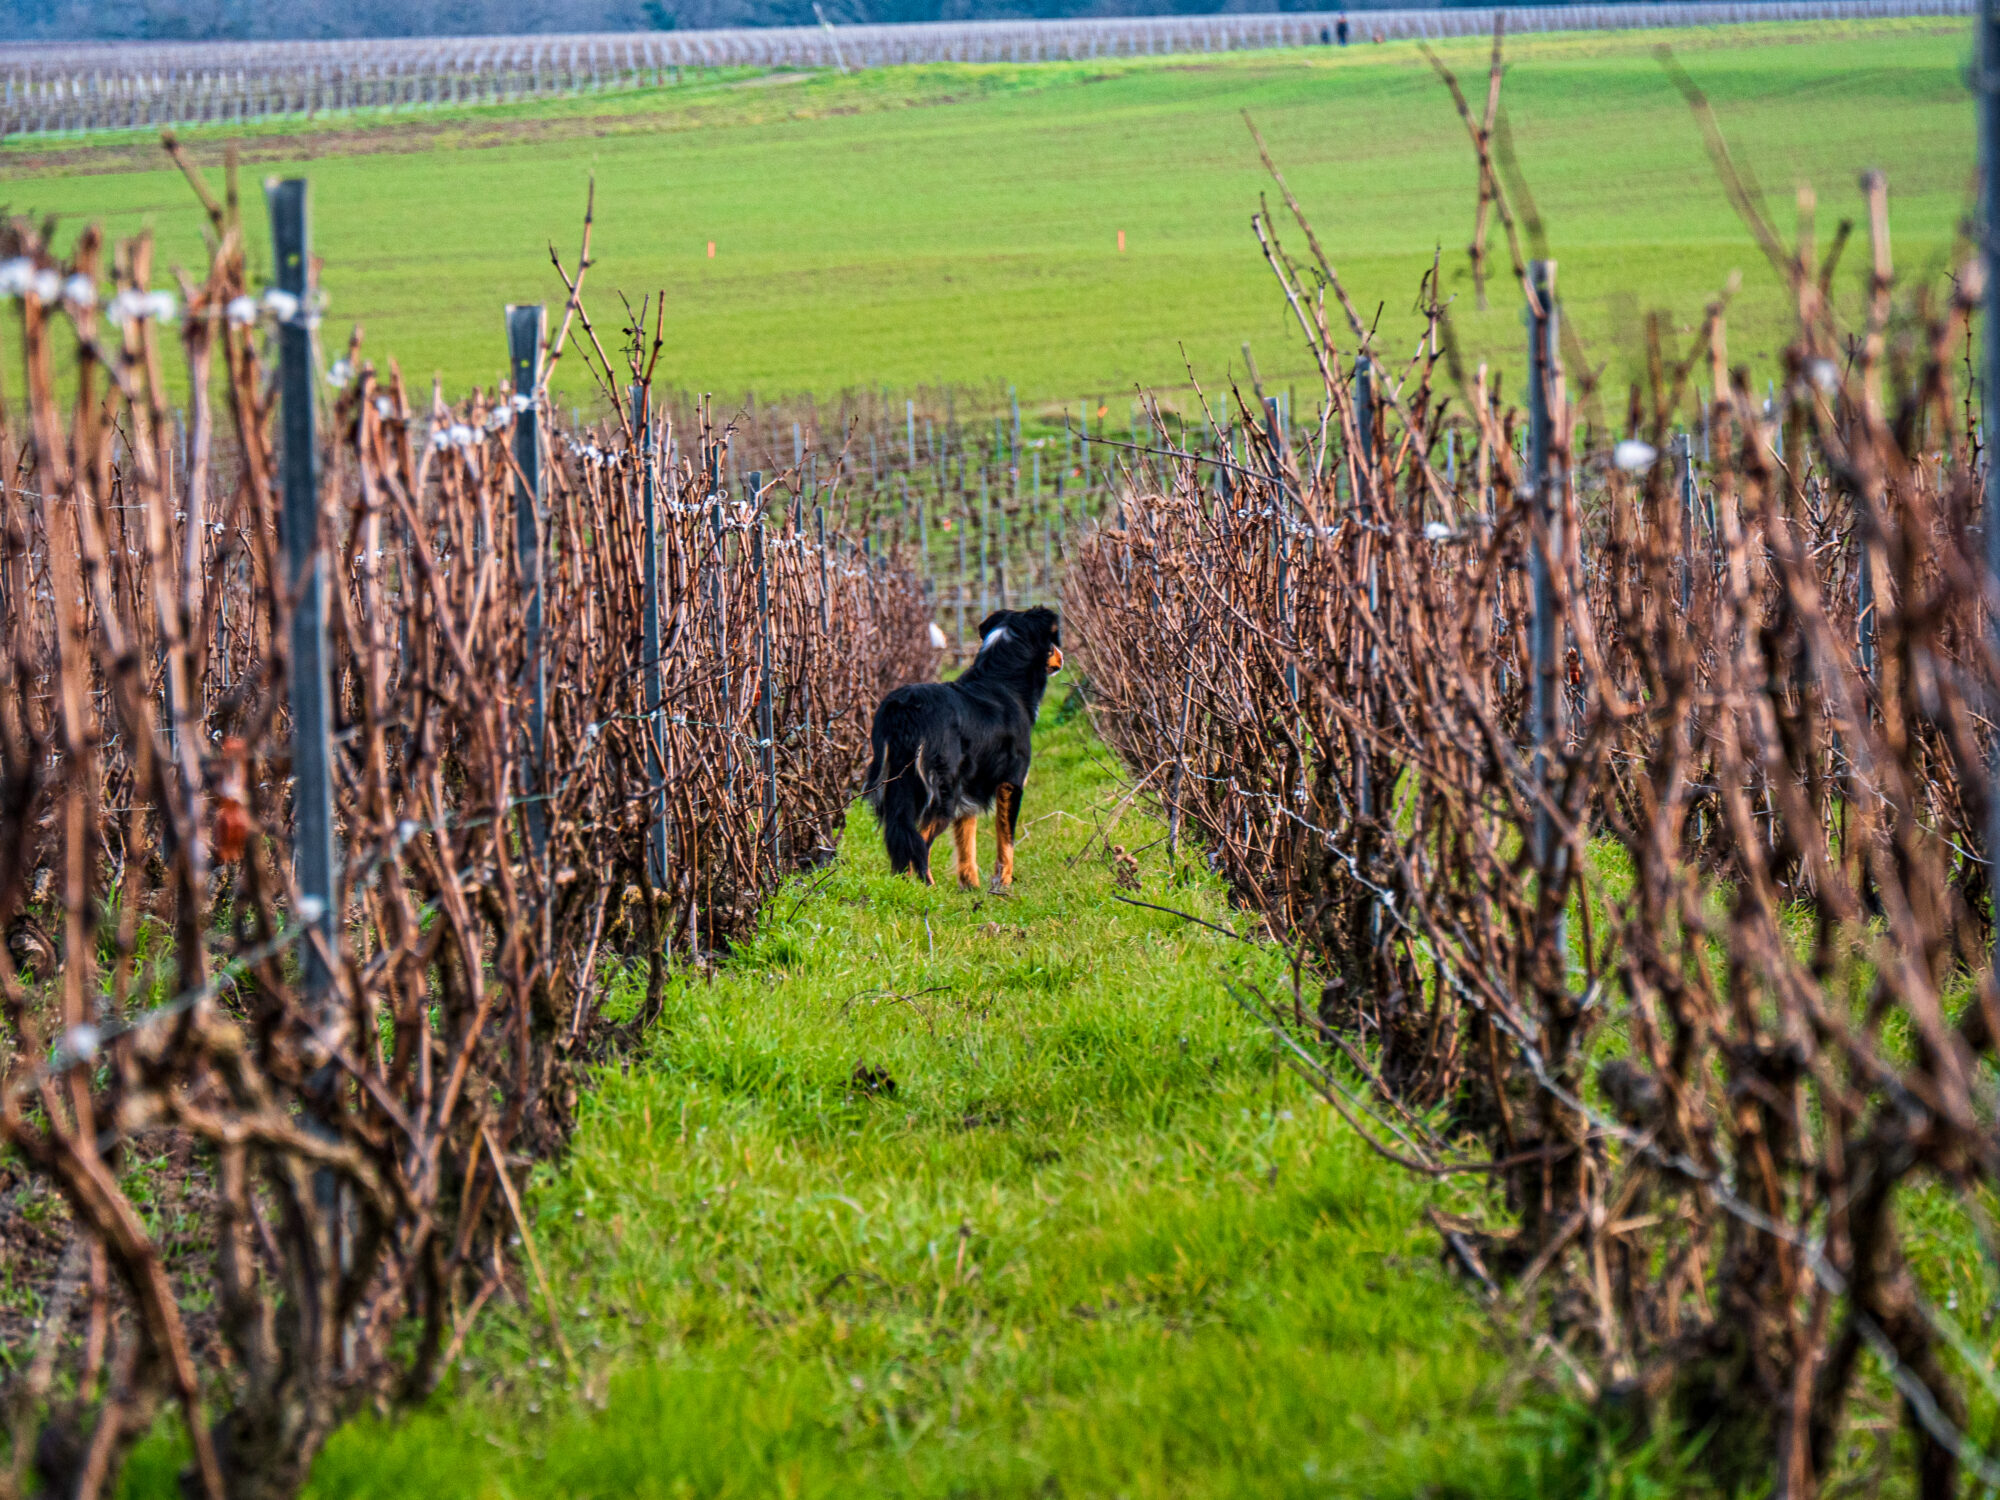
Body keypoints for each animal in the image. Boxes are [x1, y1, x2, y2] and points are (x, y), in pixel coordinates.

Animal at [860, 608, 1064, 892]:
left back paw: (903, 885)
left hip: (898, 781)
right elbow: (1006, 839)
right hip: (942, 790)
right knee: (919, 841)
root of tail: (905, 706)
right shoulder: (1011, 782)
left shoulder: (969, 787)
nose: (1062, 657)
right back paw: (927, 888)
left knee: (899, 834)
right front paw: (1003, 884)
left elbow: (967, 842)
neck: (1003, 679)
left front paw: (970, 886)